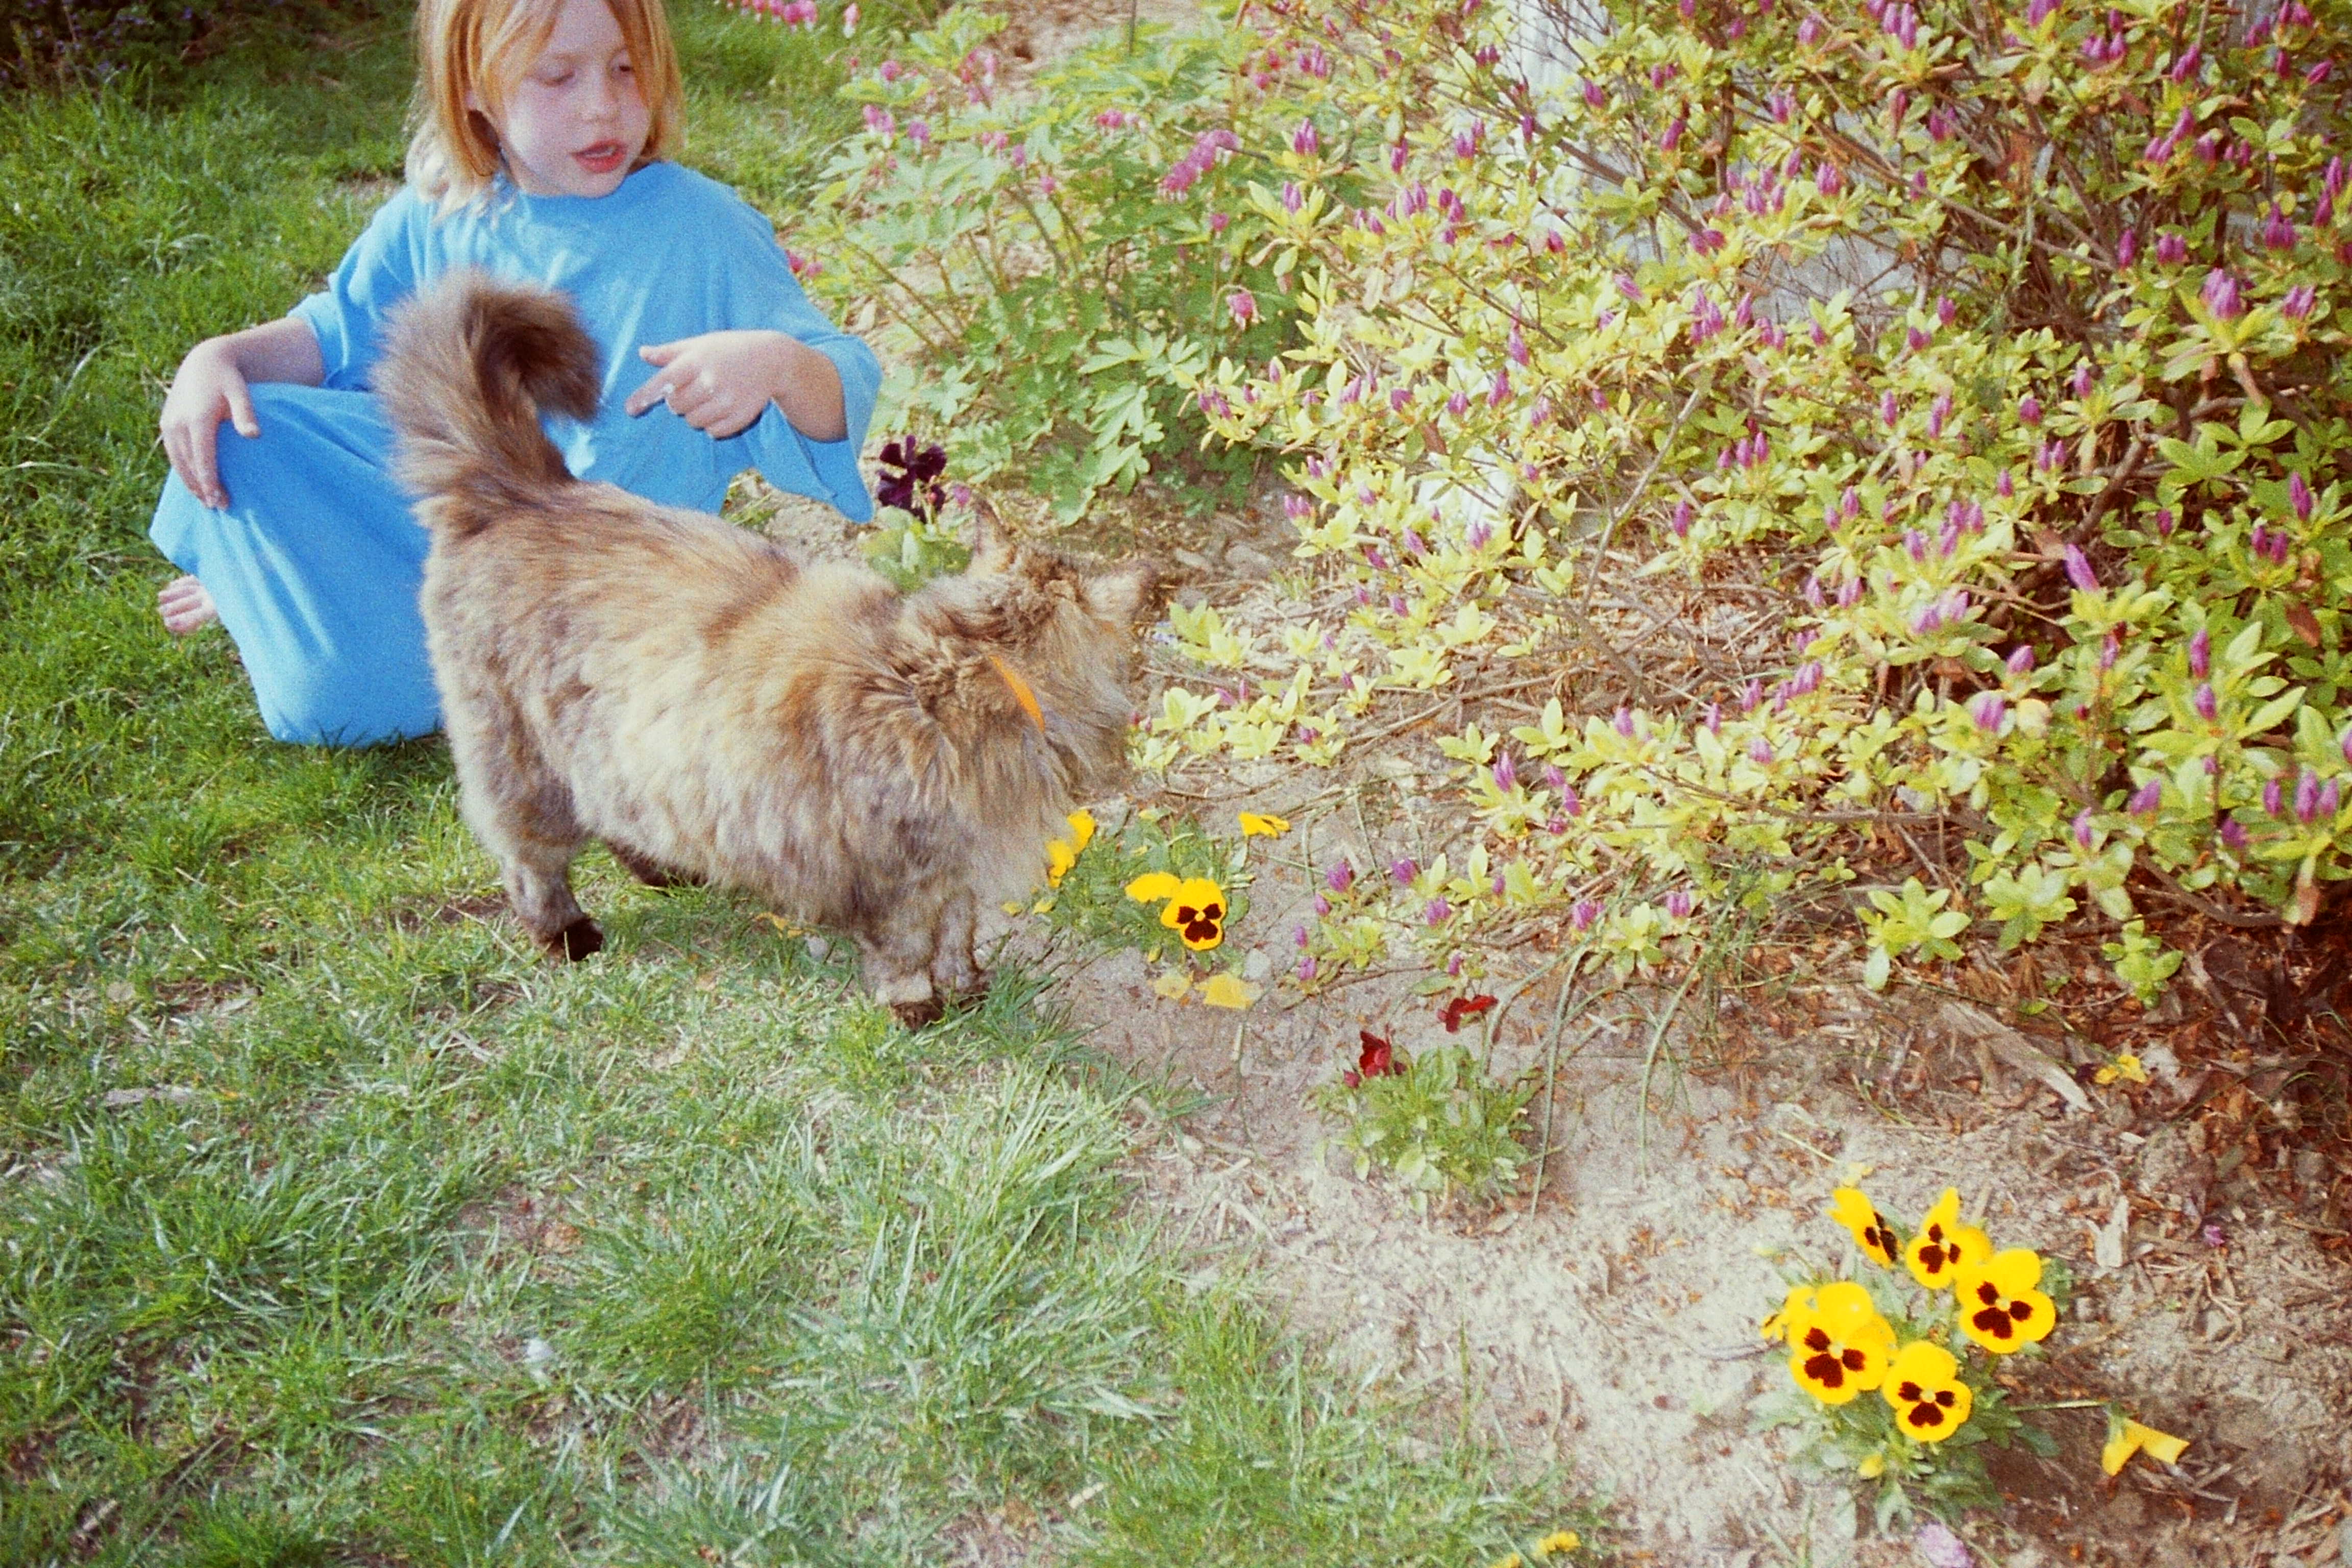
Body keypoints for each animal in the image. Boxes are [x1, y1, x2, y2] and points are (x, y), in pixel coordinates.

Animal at [375, 269, 1159, 1024]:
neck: (957, 670)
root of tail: (525, 490)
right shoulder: (897, 880)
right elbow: (907, 951)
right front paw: (919, 1008)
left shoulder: (956, 871)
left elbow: (958, 934)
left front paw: (967, 987)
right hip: (525, 766)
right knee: (530, 864)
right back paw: (568, 935)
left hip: (623, 752)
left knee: (617, 818)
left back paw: (668, 873)